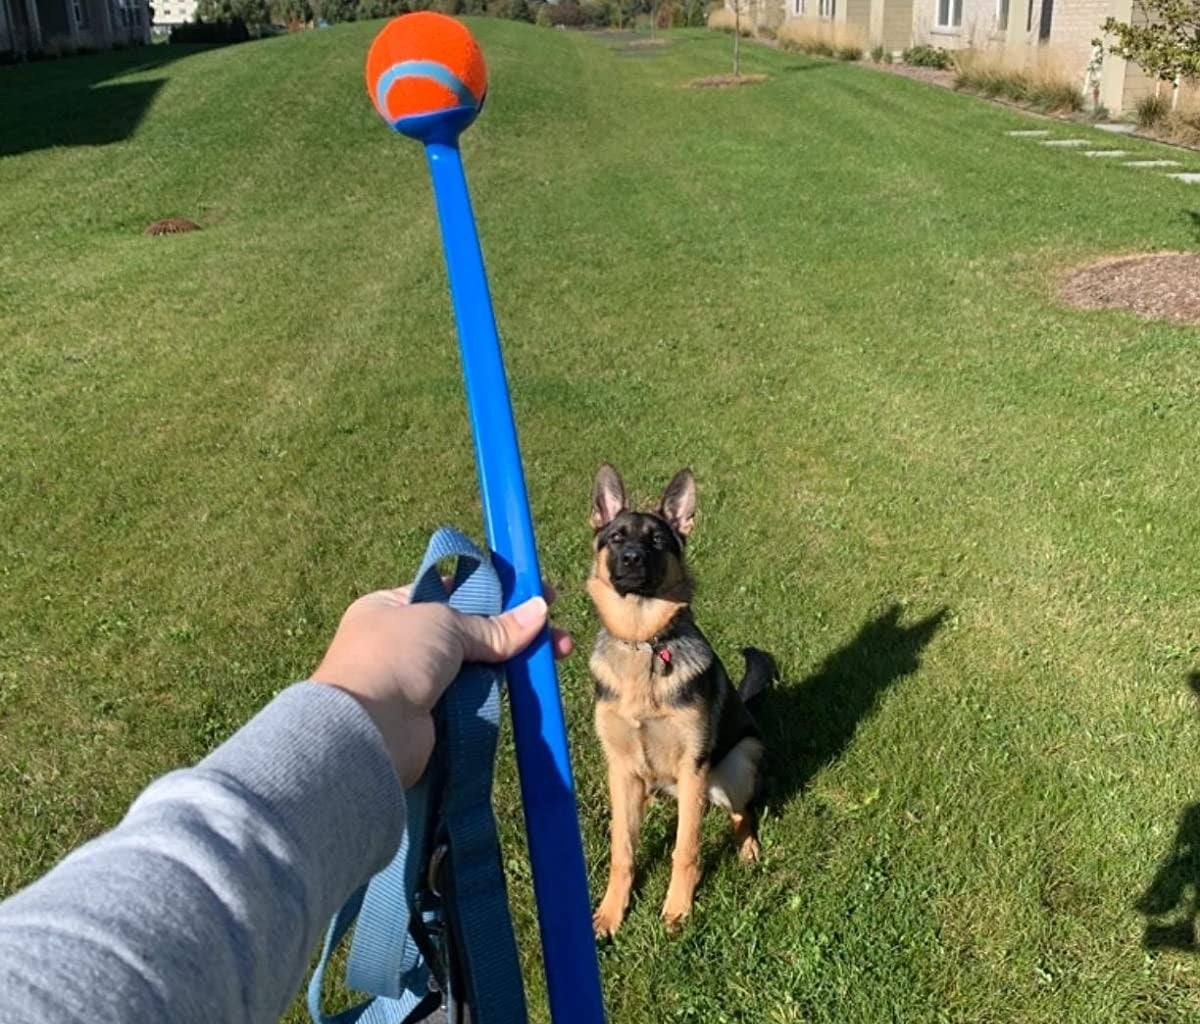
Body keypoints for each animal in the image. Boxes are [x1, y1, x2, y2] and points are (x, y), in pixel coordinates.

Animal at [585, 463, 772, 936]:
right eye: (617, 537)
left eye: (657, 540)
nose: (632, 559)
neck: (643, 642)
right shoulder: (620, 765)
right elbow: (623, 851)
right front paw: (611, 912)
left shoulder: (693, 768)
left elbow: (685, 848)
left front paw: (677, 909)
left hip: (735, 767)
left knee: (743, 813)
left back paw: (748, 849)